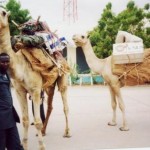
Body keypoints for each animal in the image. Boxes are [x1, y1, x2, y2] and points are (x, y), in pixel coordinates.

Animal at [0, 6, 70, 149]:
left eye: (3, 13)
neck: (20, 67)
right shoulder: (19, 91)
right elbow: (25, 120)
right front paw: (24, 144)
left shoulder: (36, 90)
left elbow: (37, 121)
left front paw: (42, 147)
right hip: (49, 85)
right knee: (50, 106)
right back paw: (43, 131)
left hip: (63, 77)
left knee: (65, 104)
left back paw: (67, 132)